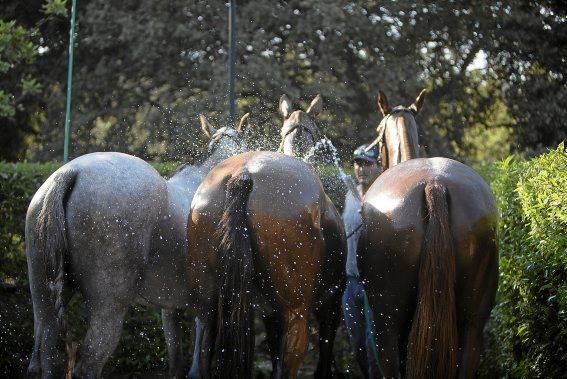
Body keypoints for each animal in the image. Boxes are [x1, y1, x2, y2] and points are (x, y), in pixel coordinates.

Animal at [25, 114, 251, 378]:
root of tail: (71, 172)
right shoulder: (207, 308)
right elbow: (198, 366)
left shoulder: (171, 309)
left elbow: (176, 363)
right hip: (109, 305)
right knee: (89, 363)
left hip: (44, 299)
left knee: (45, 357)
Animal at [187, 151, 346, 378]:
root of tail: (243, 174)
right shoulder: (332, 301)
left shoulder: (271, 314)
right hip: (295, 308)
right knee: (290, 357)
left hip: (205, 301)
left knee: (200, 357)